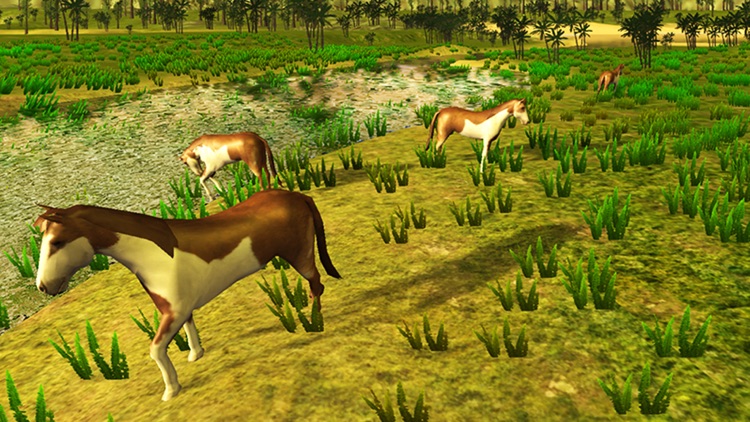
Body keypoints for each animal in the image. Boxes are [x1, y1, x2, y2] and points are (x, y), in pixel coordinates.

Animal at [33, 189, 341, 401]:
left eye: (57, 242)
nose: (44, 287)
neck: (150, 254)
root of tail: (296, 194)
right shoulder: (178, 309)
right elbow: (190, 328)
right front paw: (196, 354)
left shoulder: (174, 312)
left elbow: (156, 350)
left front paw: (171, 390)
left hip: (300, 255)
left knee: (317, 284)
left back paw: (315, 322)